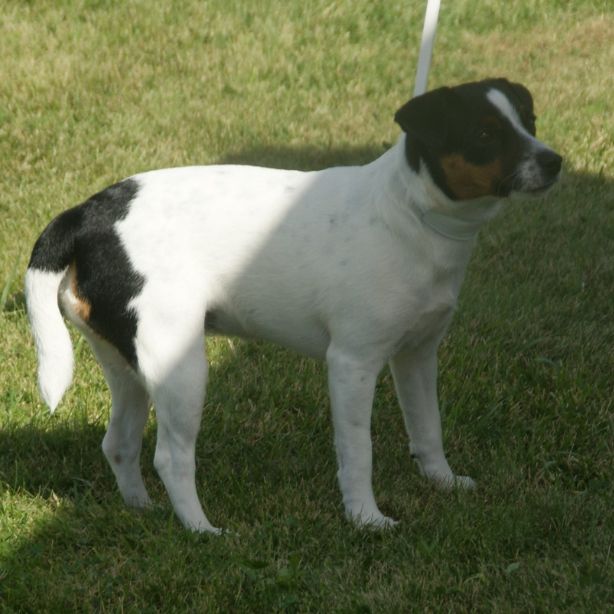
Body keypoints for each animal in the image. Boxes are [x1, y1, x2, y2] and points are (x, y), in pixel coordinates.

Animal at [25, 78, 564, 536]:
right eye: (484, 133)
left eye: (530, 120)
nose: (555, 161)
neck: (410, 212)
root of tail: (87, 214)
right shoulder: (352, 362)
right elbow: (358, 451)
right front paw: (367, 520)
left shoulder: (416, 356)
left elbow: (427, 428)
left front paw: (443, 483)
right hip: (180, 367)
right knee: (171, 457)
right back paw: (203, 531)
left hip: (128, 365)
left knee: (118, 443)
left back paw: (145, 511)